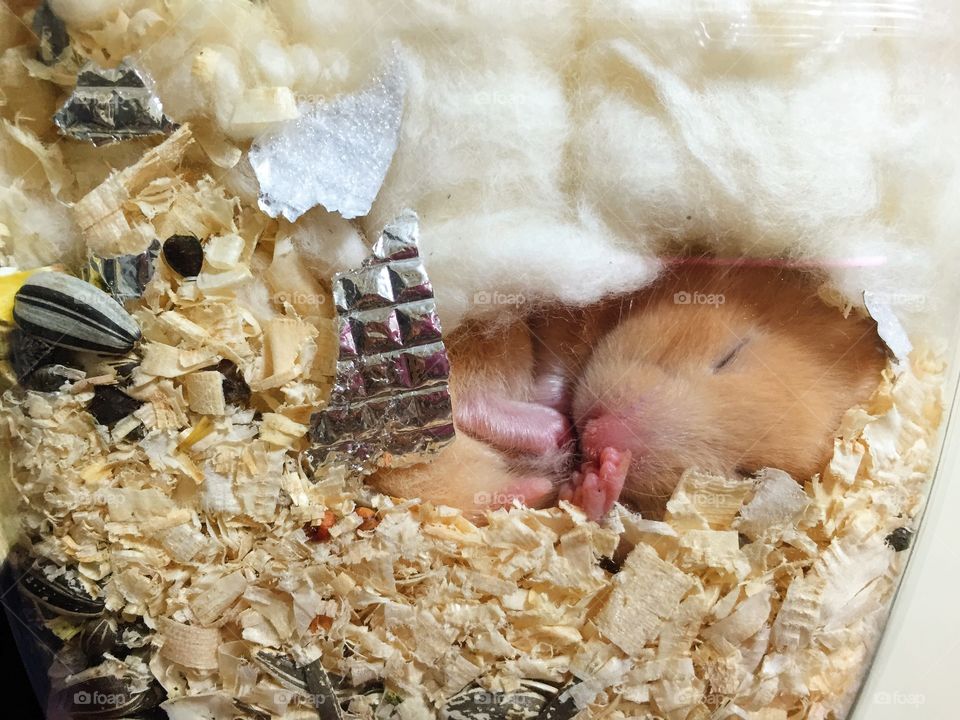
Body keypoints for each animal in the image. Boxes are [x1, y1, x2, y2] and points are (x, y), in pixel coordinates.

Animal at [368, 262, 884, 520]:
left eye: (748, 475)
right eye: (731, 354)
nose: (604, 442)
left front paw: (600, 473)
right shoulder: (558, 314)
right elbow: (555, 364)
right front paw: (563, 415)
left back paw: (579, 482)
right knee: (467, 404)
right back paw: (554, 431)